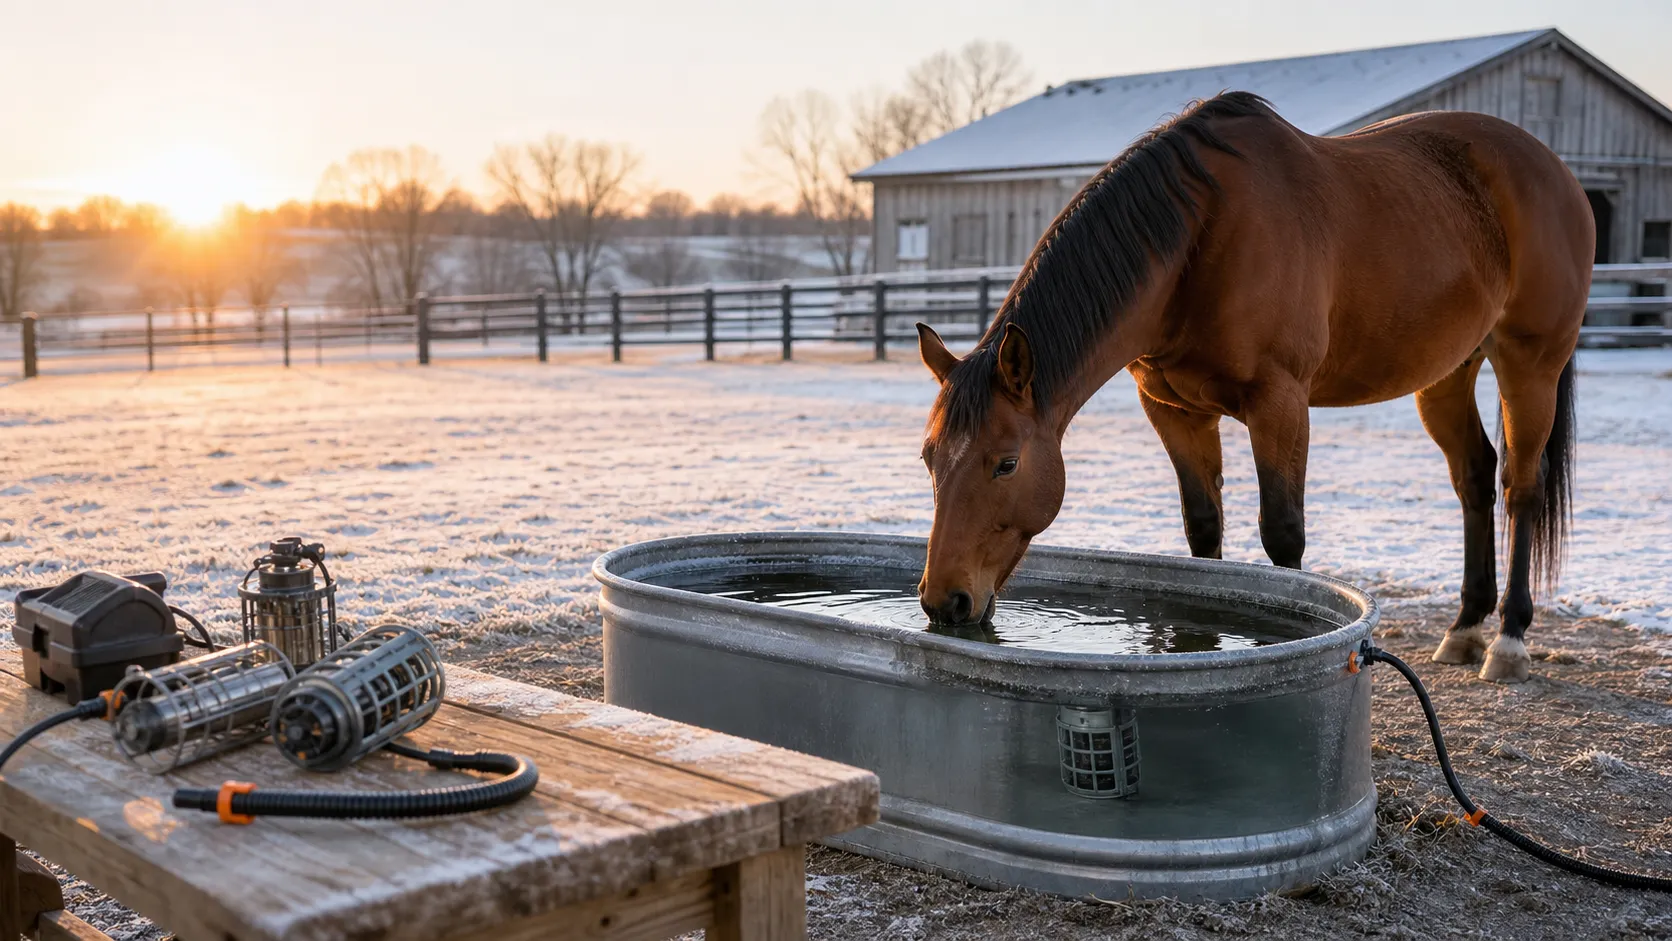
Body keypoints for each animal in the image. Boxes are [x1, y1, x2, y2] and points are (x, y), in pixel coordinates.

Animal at [914, 91, 1589, 684]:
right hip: (1446, 376)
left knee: (1520, 486)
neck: (1200, 237)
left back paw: (1508, 642)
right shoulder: (1174, 411)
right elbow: (1203, 531)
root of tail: (1555, 170)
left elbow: (1283, 536)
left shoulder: (1280, 405)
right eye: (929, 459)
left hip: (1530, 365)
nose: (944, 601)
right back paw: (1466, 627)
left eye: (1006, 464)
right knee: (1475, 477)